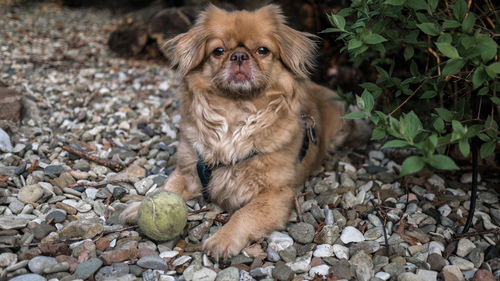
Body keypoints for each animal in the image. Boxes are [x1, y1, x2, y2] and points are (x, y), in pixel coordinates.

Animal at [121, 3, 368, 258]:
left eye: (262, 50)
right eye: (218, 51)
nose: (239, 55)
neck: (236, 112)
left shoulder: (276, 194)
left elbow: (244, 214)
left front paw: (222, 239)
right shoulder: (189, 170)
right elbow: (168, 188)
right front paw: (138, 207)